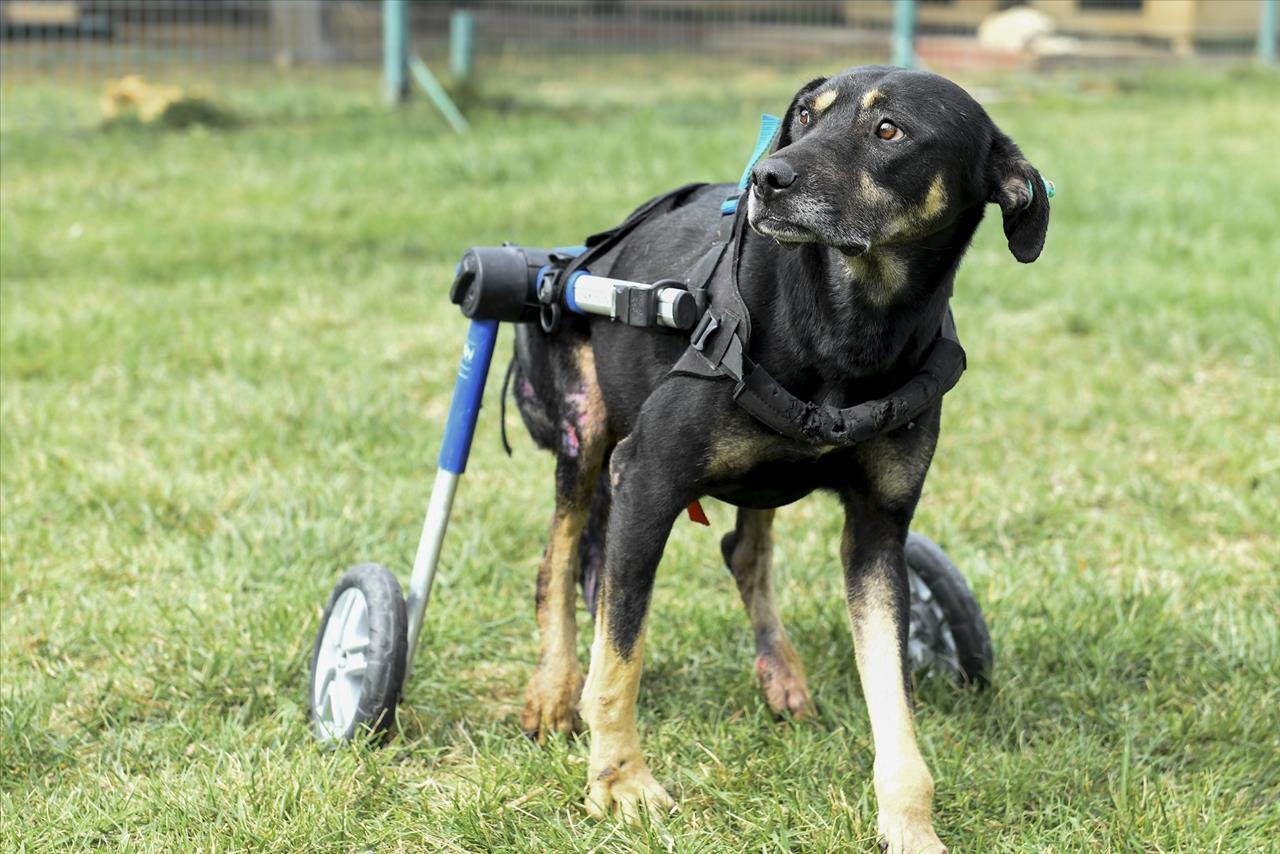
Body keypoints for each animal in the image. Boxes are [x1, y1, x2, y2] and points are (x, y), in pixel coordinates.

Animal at [509, 66, 1049, 854]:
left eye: (889, 130)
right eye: (806, 116)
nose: (767, 178)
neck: (848, 320)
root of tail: (575, 260)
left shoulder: (878, 530)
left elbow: (891, 692)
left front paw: (909, 822)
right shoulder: (646, 476)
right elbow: (620, 658)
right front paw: (620, 782)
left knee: (740, 551)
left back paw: (781, 673)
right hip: (587, 431)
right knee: (562, 559)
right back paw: (553, 692)